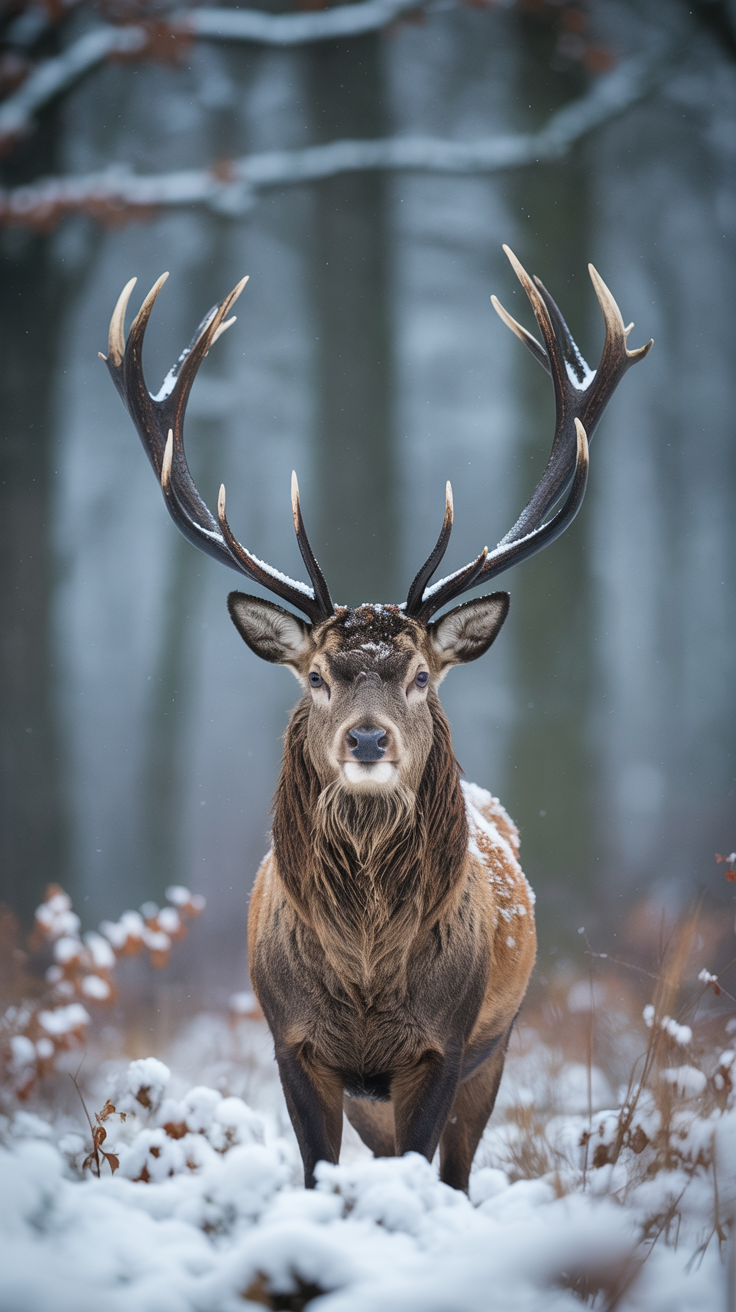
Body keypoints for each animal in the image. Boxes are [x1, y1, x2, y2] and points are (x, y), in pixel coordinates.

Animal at [102, 246, 651, 1191]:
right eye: (319, 675)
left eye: (423, 675)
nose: (367, 737)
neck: (363, 983)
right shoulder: (294, 1043)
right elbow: (317, 1167)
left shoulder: (444, 1044)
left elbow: (428, 1164)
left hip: (497, 1046)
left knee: (457, 1170)